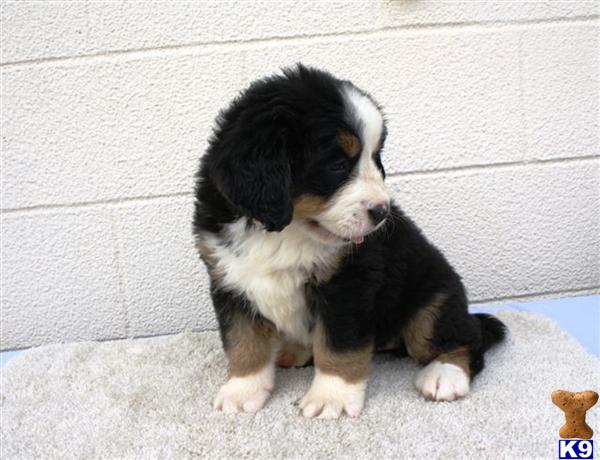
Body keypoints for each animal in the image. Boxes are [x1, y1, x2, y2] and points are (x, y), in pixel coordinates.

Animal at [193, 64, 506, 420]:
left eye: (376, 157)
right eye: (337, 164)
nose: (382, 212)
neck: (287, 232)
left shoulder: (348, 283)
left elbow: (338, 344)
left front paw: (333, 396)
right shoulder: (230, 280)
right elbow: (243, 340)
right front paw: (242, 389)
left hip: (433, 302)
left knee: (467, 339)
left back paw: (444, 374)